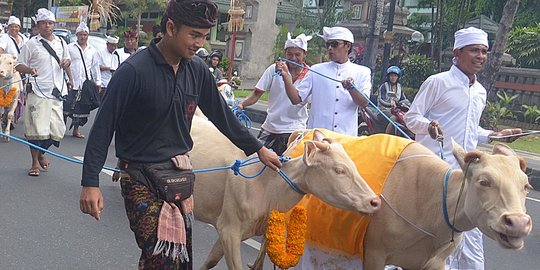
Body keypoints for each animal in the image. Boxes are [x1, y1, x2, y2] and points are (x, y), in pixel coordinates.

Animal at [189, 116, 380, 270]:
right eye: (339, 170)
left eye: (353, 165)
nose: (375, 202)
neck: (268, 186)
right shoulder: (229, 229)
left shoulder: (234, 231)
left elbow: (211, 261)